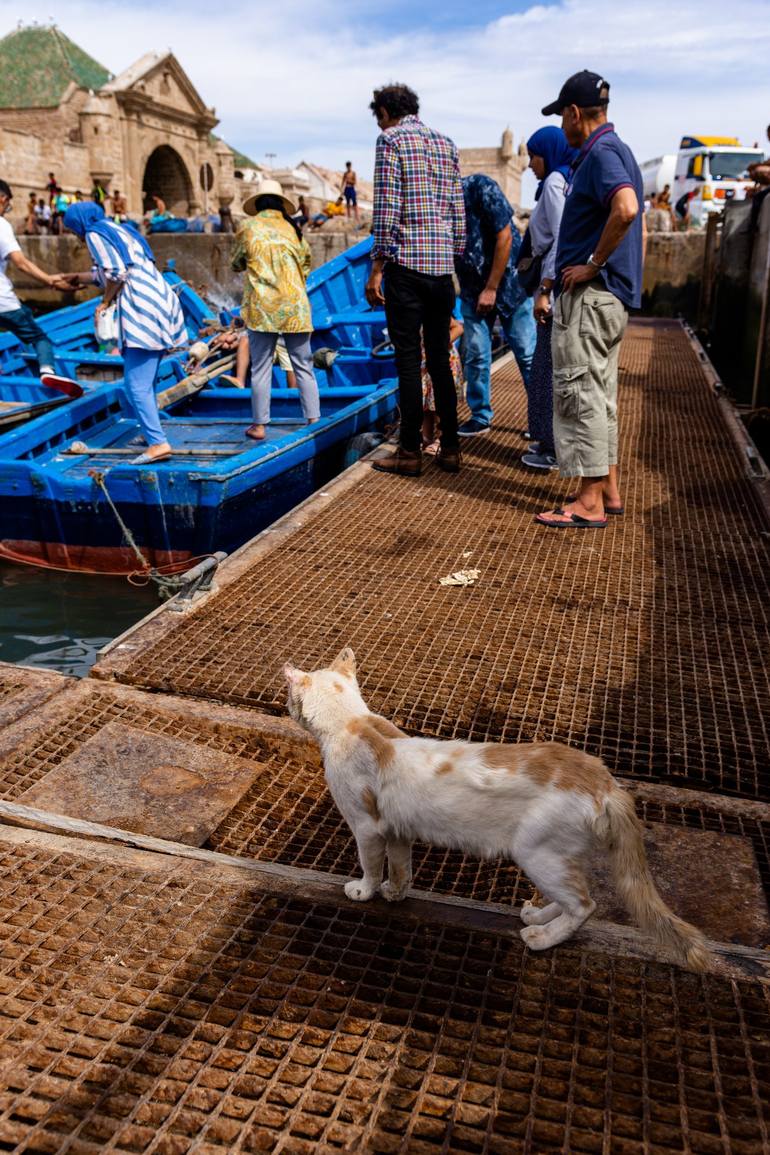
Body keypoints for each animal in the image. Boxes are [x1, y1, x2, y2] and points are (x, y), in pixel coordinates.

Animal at [282, 646, 711, 970]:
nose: (287, 706)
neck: (352, 722)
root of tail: (604, 780)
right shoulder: (397, 830)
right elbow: (401, 868)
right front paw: (395, 893)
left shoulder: (367, 828)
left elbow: (371, 866)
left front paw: (365, 891)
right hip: (561, 855)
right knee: (574, 895)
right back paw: (537, 915)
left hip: (536, 852)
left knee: (586, 905)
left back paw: (542, 936)